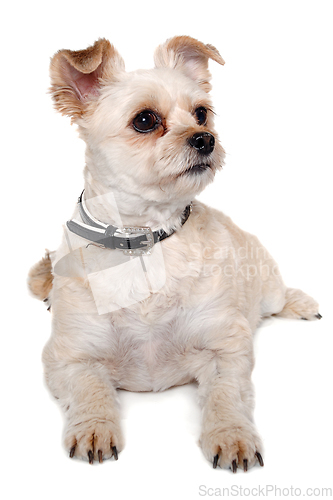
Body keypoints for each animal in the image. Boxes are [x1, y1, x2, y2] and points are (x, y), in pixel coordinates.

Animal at [27, 36, 320, 472]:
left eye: (201, 113)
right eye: (146, 120)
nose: (205, 139)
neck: (145, 244)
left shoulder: (225, 347)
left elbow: (227, 396)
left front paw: (231, 435)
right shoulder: (69, 357)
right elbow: (89, 388)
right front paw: (95, 426)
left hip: (265, 288)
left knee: (279, 296)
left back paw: (300, 303)